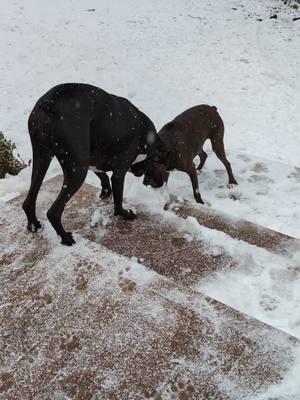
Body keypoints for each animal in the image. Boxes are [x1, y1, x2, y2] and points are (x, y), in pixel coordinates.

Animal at [22, 83, 159, 245]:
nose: (142, 174)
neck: (144, 131)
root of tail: (48, 103)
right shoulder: (119, 173)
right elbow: (118, 199)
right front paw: (124, 213)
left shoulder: (91, 161)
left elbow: (103, 176)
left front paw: (105, 192)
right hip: (77, 171)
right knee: (53, 212)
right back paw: (66, 238)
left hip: (43, 157)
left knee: (29, 199)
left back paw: (34, 225)